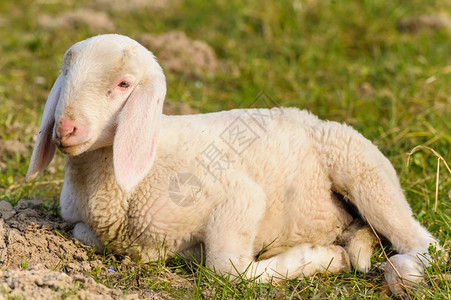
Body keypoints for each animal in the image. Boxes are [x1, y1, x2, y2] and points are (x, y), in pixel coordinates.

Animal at [26, 34, 440, 296]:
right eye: (65, 75)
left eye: (124, 84)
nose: (64, 129)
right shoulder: (82, 225)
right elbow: (87, 235)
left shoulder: (239, 198)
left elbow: (228, 269)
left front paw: (322, 259)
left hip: (363, 171)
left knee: (423, 242)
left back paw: (403, 275)